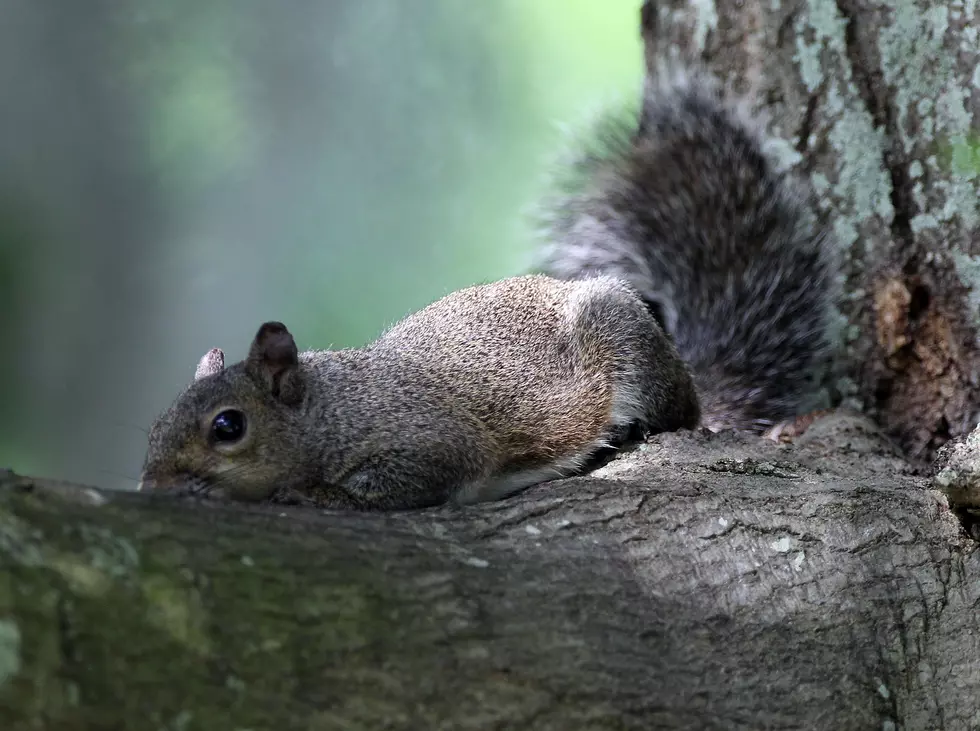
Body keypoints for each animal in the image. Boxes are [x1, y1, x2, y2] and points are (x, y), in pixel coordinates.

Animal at [136, 1, 828, 508]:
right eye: (155, 423)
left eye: (228, 426)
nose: (151, 486)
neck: (330, 412)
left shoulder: (432, 443)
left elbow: (397, 484)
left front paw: (316, 495)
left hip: (628, 346)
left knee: (679, 413)